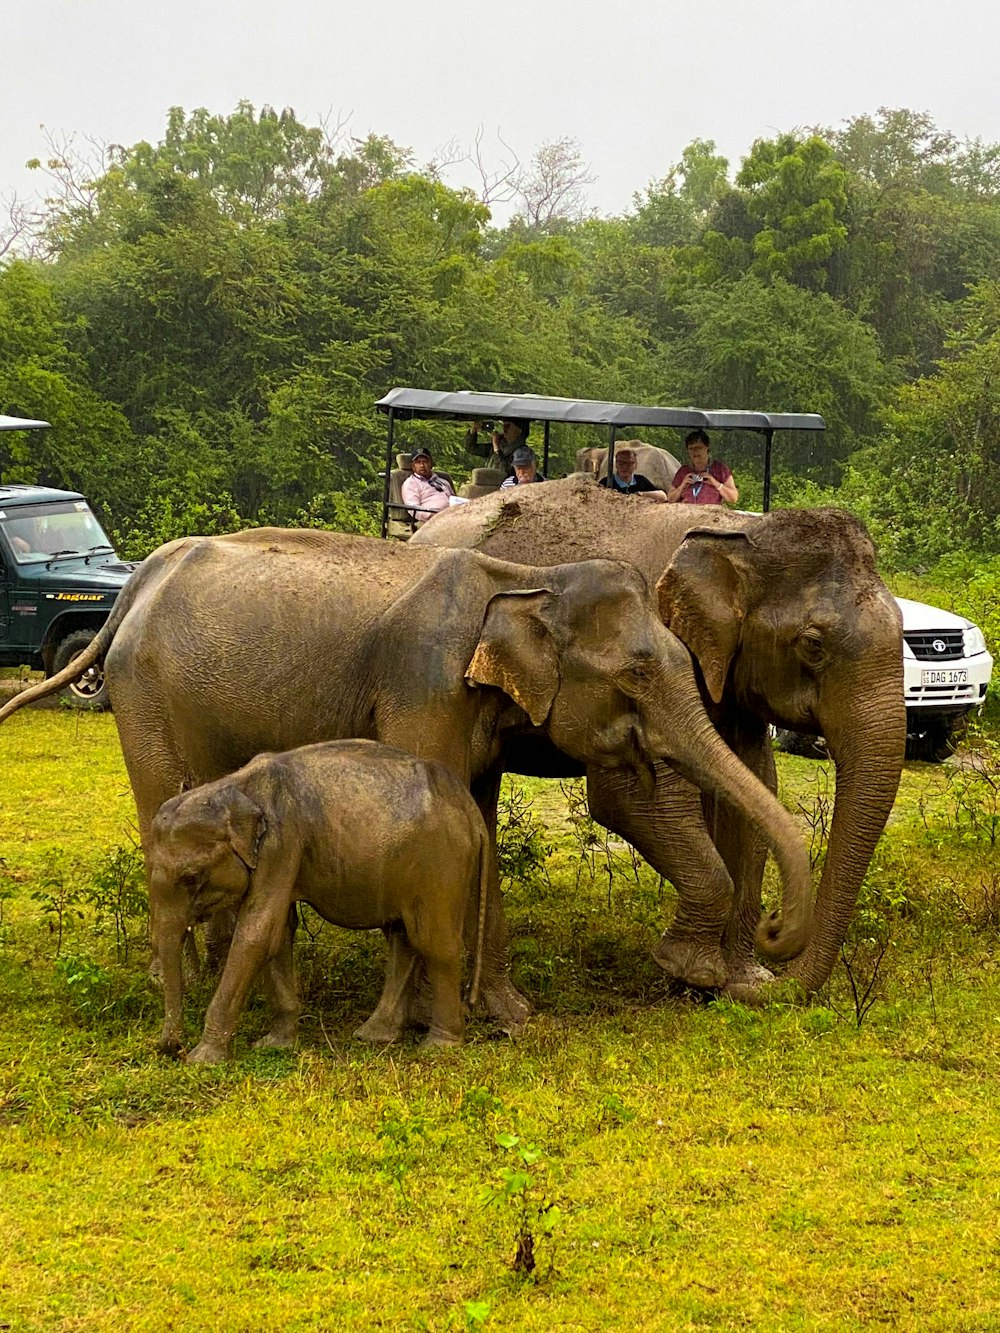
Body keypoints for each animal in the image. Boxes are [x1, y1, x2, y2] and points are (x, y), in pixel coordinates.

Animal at [148, 741, 493, 1061]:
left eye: (190, 877)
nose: (171, 1048)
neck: (234, 786)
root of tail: (467, 804)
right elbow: (278, 932)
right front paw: (274, 1044)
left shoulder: (282, 842)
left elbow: (258, 933)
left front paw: (203, 1059)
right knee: (402, 937)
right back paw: (373, 1036)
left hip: (440, 860)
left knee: (434, 944)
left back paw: (438, 1047)